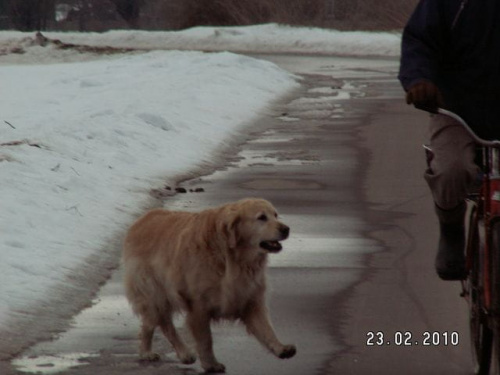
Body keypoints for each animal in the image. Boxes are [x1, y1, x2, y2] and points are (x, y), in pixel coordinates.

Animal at [122, 198, 294, 374]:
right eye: (262, 217)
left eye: (275, 215)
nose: (286, 229)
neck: (232, 258)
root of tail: (142, 220)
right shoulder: (198, 306)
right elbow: (205, 340)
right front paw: (211, 364)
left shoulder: (249, 299)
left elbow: (266, 329)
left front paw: (280, 348)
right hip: (155, 294)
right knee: (163, 324)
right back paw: (176, 353)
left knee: (152, 323)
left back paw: (153, 352)